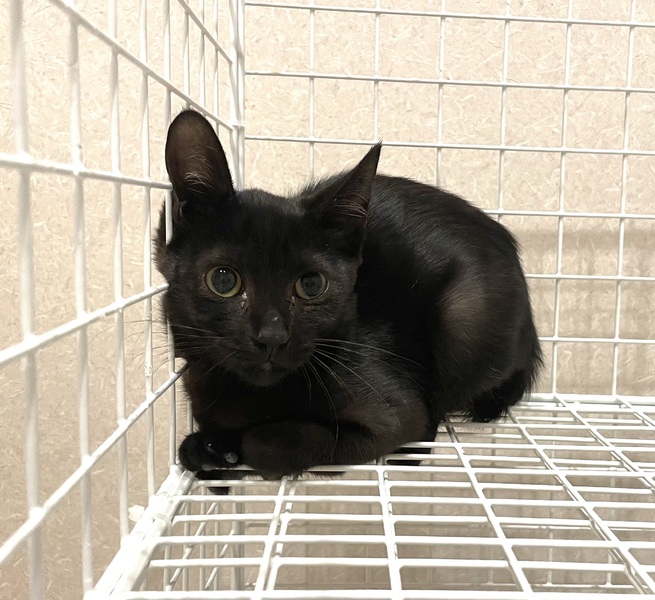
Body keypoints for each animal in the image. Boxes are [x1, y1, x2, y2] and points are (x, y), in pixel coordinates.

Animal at [156, 109, 542, 485]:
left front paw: (248, 447)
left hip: (463, 317)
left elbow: (279, 441)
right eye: (223, 280)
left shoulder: (396, 414)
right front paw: (208, 450)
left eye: (312, 285)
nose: (272, 336)